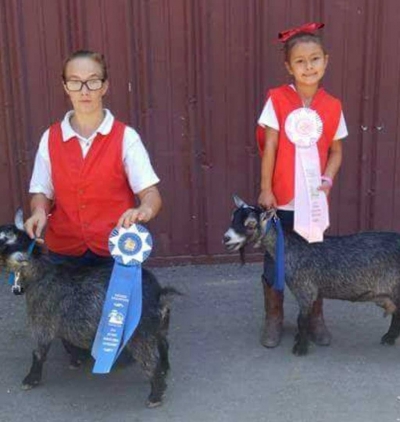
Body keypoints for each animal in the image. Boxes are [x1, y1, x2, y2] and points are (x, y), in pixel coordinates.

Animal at [0, 213, 177, 408]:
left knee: (150, 361)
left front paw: (31, 379)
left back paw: (155, 395)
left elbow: (39, 352)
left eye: (2, 241)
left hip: (139, 333)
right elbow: (66, 340)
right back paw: (165, 368)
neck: (40, 272)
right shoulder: (63, 318)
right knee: (163, 344)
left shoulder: (42, 319)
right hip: (157, 327)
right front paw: (76, 359)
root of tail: (158, 295)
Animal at [223, 197, 400, 356]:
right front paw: (300, 340)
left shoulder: (305, 290)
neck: (291, 247)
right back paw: (389, 338)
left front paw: (300, 348)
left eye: (251, 224)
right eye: (232, 218)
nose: (226, 238)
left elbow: (302, 320)